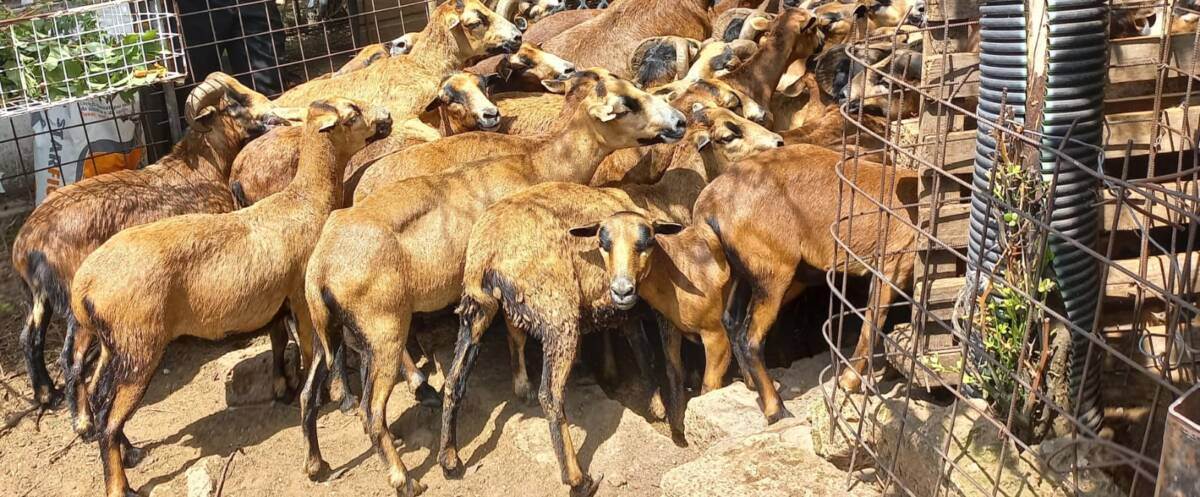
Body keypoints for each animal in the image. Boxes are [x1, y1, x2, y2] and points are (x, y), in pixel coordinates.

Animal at [10, 73, 291, 409]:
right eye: (235, 104)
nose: (274, 112)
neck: (203, 168)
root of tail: (28, 245)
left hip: (37, 296)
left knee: (30, 338)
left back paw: (45, 394)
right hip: (73, 299)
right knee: (69, 358)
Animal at [67, 98, 390, 497]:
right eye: (351, 115)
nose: (387, 118)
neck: (305, 200)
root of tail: (84, 286)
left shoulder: (274, 301)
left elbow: (279, 340)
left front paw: (283, 387)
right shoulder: (300, 297)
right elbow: (311, 350)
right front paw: (327, 396)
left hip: (113, 345)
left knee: (99, 399)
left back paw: (131, 454)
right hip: (140, 346)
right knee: (110, 419)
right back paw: (119, 484)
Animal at [298, 70, 685, 497]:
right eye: (627, 104)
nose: (680, 122)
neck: (536, 163)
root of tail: (320, 269)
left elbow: (515, 332)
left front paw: (521, 385)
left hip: (328, 327)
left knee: (308, 392)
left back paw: (317, 463)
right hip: (385, 325)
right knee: (373, 409)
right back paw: (406, 467)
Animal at [440, 103, 779, 495]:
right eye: (729, 133)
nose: (778, 142)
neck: (668, 197)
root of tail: (489, 249)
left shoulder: (626, 308)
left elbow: (645, 358)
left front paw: (655, 405)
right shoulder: (658, 307)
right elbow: (666, 362)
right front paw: (671, 417)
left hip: (476, 308)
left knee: (454, 380)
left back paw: (450, 459)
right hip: (557, 314)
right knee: (550, 395)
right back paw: (577, 478)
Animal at [694, 144, 918, 423]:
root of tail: (710, 202)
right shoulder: (891, 268)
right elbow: (872, 325)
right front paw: (848, 381)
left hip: (746, 273)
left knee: (732, 320)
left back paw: (752, 384)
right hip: (775, 272)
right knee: (750, 338)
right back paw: (776, 409)